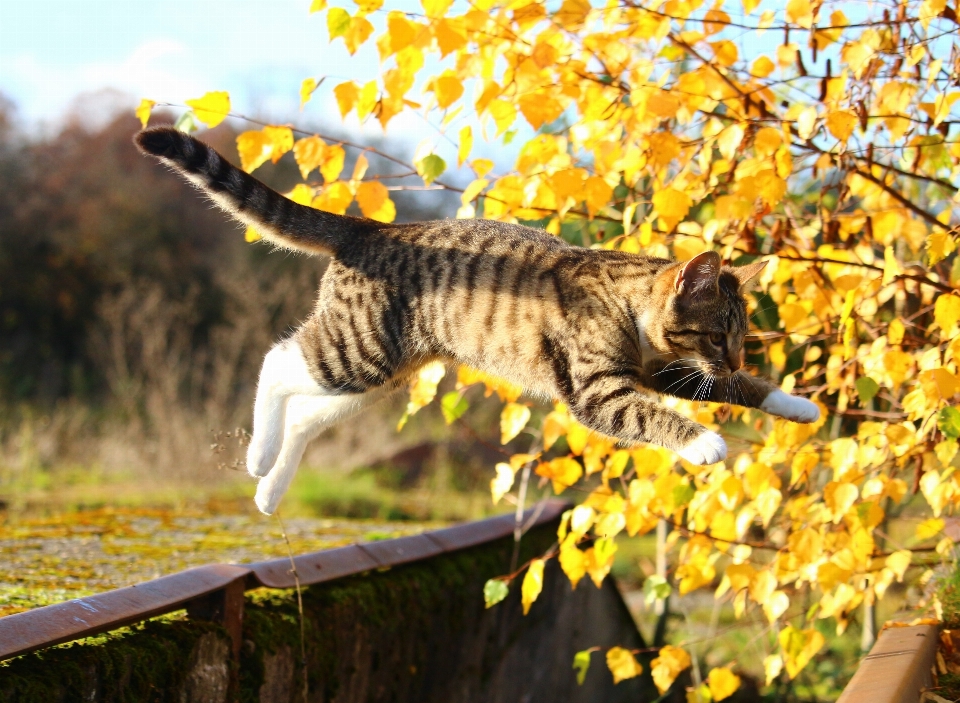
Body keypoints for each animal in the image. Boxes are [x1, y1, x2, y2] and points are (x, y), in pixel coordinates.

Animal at [135, 126, 820, 516]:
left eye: (742, 338)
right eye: (718, 333)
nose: (735, 354)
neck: (630, 306)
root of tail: (372, 227)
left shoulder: (666, 372)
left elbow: (738, 391)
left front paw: (796, 404)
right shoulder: (600, 390)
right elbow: (653, 416)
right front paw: (704, 442)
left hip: (380, 376)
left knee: (304, 413)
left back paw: (269, 491)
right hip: (359, 350)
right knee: (275, 361)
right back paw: (257, 458)